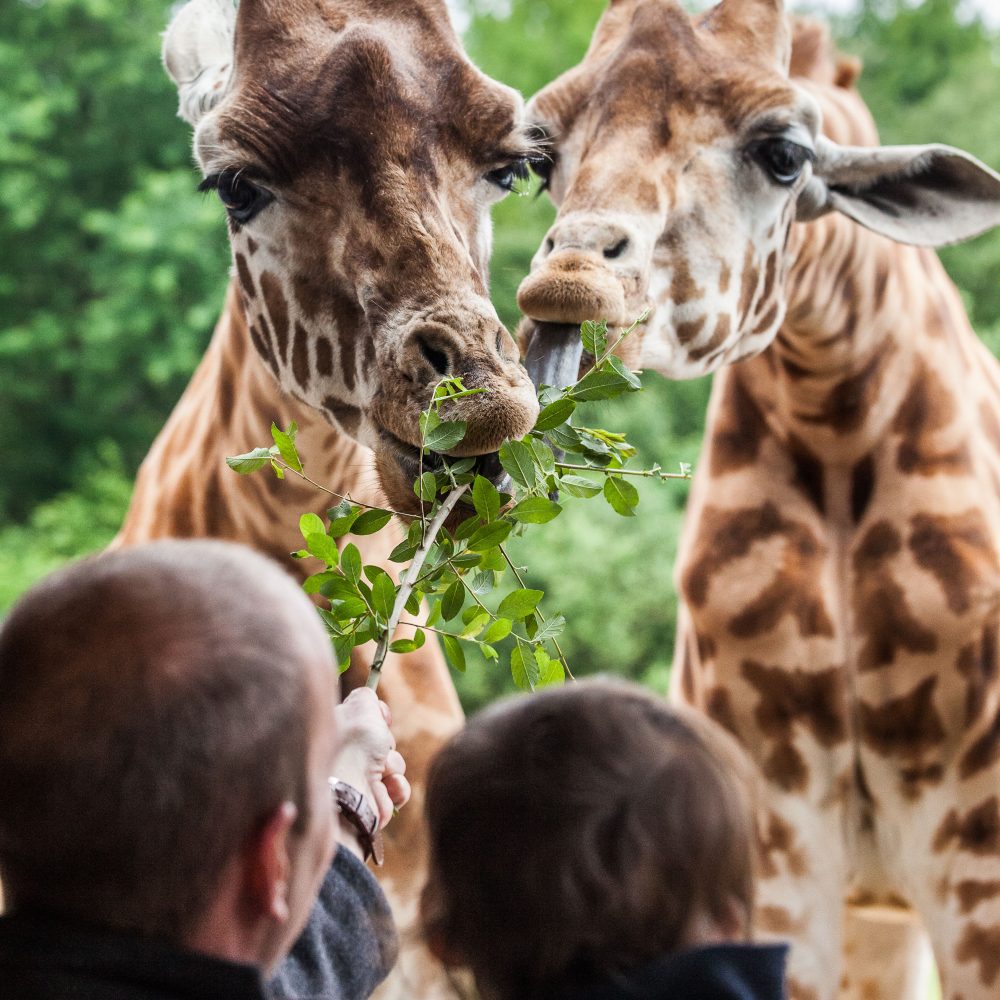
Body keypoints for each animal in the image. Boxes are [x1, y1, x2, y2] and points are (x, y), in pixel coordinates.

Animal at [516, 1, 1000, 1000]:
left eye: (784, 154)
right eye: (542, 160)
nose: (568, 283)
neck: (834, 423)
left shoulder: (977, 841)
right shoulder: (776, 827)